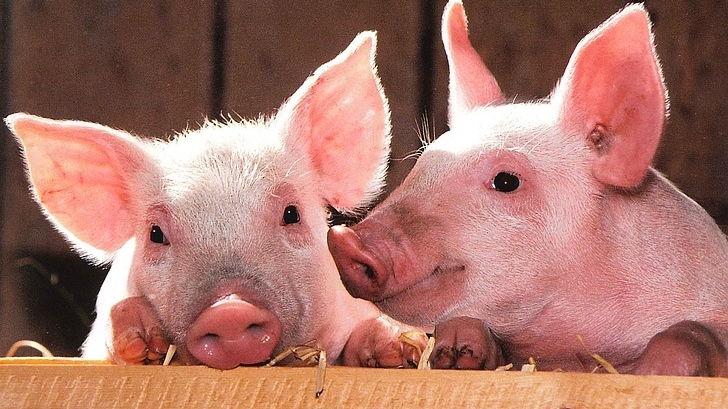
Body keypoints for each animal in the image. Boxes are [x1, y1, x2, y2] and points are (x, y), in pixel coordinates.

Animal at [327, 2, 728, 376]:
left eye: (506, 181)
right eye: (423, 164)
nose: (345, 239)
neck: (577, 351)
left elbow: (691, 333)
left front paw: (652, 372)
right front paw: (455, 349)